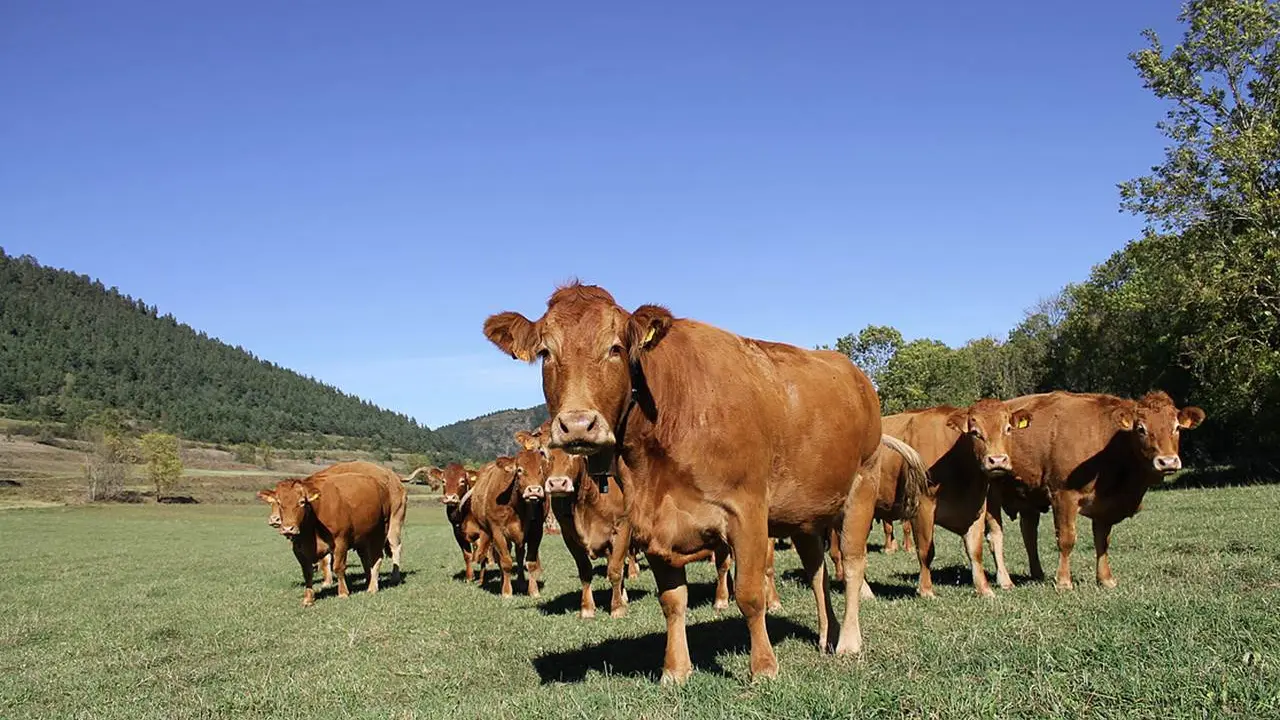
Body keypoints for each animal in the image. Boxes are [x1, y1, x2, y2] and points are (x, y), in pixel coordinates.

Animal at [256, 461, 402, 606]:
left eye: (302, 502)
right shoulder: (299, 549)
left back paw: (373, 587)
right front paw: (308, 598)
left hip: (381, 532)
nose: (288, 528)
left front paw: (343, 593)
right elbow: (307, 572)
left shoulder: (340, 542)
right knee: (366, 560)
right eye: (278, 502)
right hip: (363, 539)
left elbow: (338, 567)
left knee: (378, 558)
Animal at [469, 450, 550, 598]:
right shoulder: (497, 532)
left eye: (540, 470)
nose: (534, 490)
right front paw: (507, 592)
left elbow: (531, 562)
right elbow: (505, 561)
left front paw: (534, 591)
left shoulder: (536, 531)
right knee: (500, 557)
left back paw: (521, 582)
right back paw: (503, 582)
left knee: (519, 554)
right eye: (519, 470)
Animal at [484, 282, 884, 682]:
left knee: (851, 562)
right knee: (817, 571)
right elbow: (672, 601)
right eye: (546, 352)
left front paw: (764, 668)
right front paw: (675, 670)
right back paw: (827, 634)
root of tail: (855, 374)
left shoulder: (747, 512)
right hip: (805, 514)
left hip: (862, 486)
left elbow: (749, 594)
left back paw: (848, 641)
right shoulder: (649, 522)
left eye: (615, 348)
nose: (578, 424)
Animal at [999, 390, 1204, 589]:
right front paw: (1064, 582)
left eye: (1177, 428)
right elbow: (1066, 539)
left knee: (1029, 533)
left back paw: (1037, 574)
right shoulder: (1063, 495)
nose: (1168, 462)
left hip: (1028, 499)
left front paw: (1106, 579)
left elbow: (1102, 541)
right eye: (1141, 429)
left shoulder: (1105, 504)